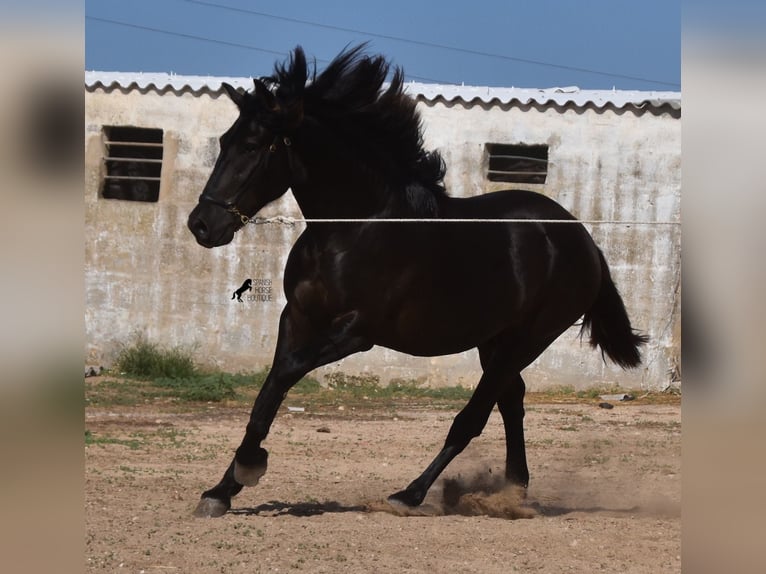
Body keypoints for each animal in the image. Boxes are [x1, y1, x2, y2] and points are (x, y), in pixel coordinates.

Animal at [188, 47, 648, 520]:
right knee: (511, 400)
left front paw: (248, 467)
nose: (202, 225)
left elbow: (284, 374)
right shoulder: (296, 318)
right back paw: (511, 492)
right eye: (223, 142)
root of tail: (585, 240)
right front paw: (221, 490)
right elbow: (268, 392)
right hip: (495, 339)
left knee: (475, 415)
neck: (351, 230)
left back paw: (411, 494)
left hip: (530, 336)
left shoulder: (357, 332)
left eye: (253, 146)